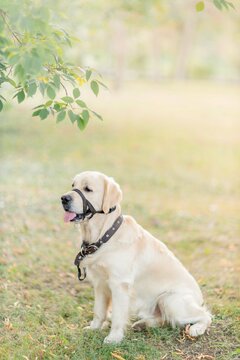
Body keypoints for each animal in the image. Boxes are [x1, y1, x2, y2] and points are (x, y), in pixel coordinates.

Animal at [61, 171, 212, 344]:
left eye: (87, 189)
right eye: (73, 185)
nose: (64, 198)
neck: (105, 235)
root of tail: (199, 298)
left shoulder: (119, 284)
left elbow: (118, 316)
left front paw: (113, 338)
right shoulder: (100, 283)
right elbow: (99, 311)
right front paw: (94, 328)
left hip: (170, 300)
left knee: (206, 315)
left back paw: (196, 329)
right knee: (164, 319)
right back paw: (143, 324)